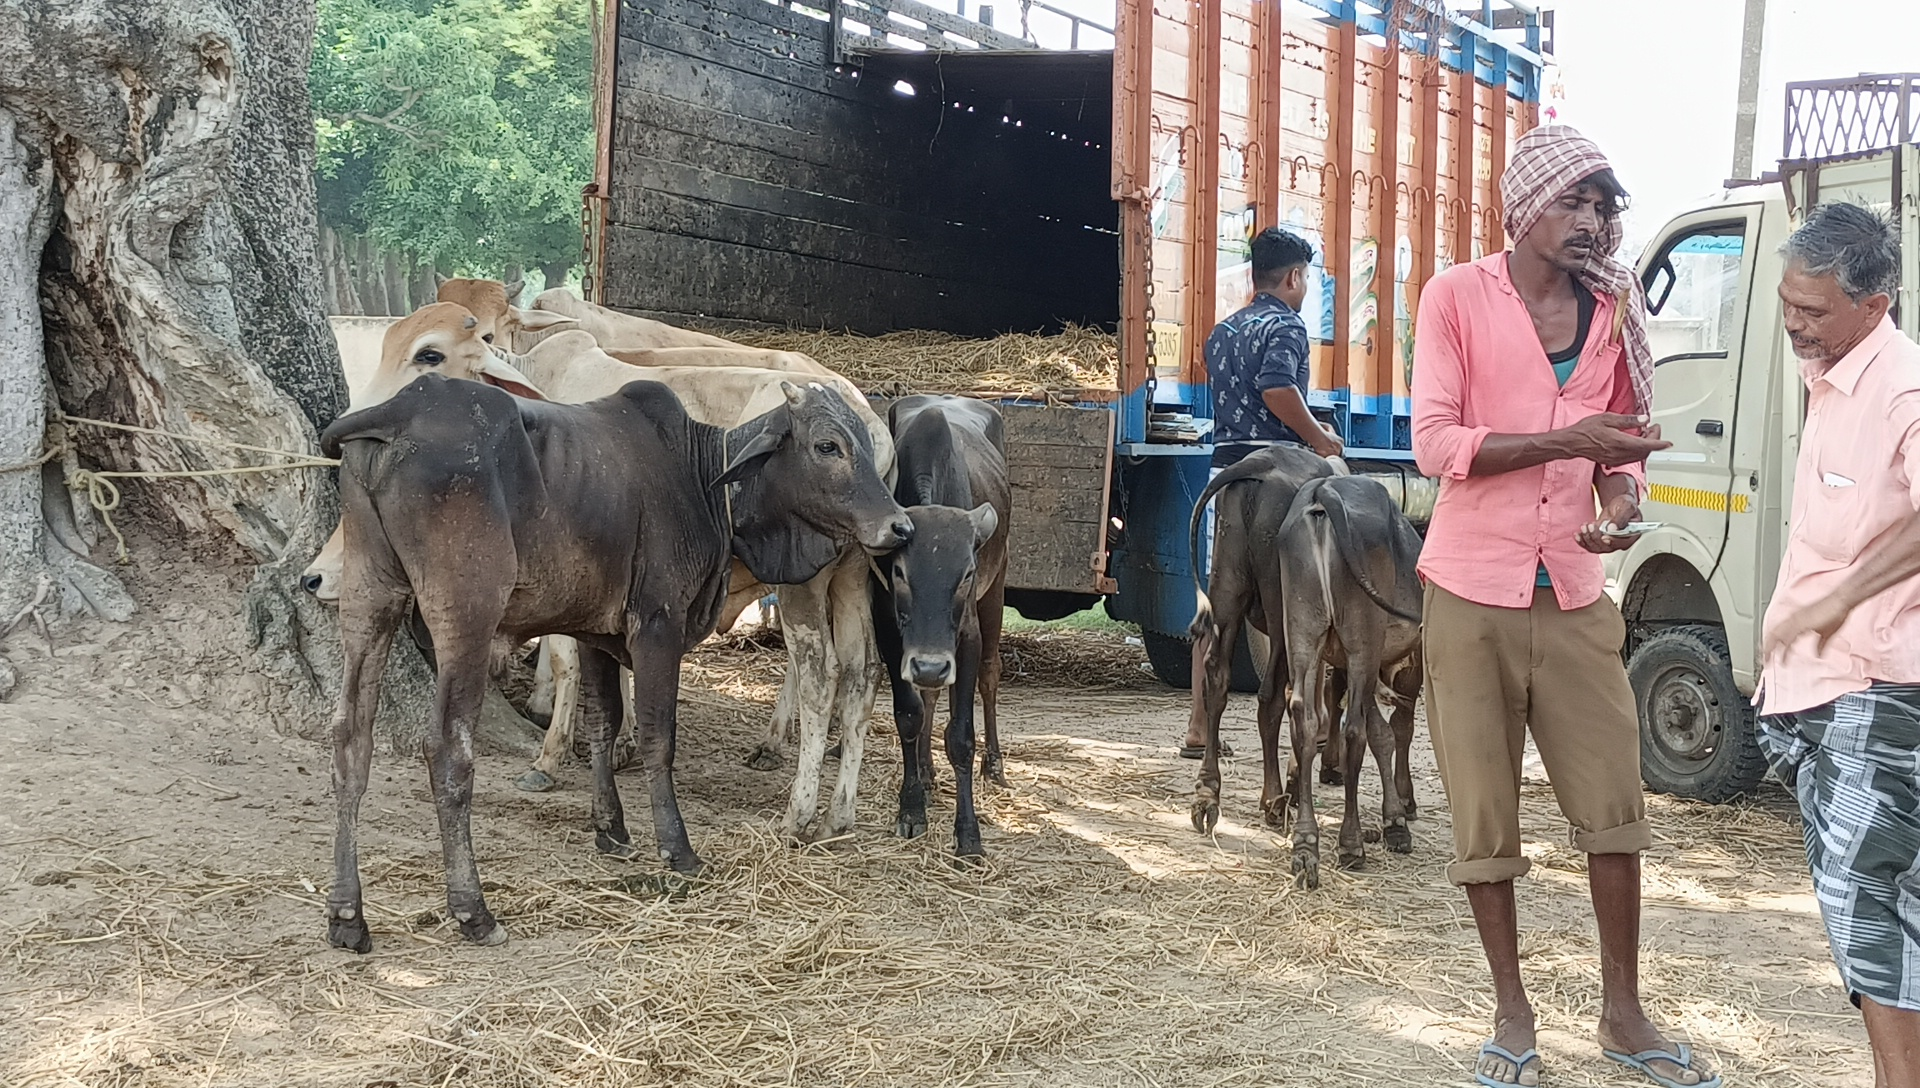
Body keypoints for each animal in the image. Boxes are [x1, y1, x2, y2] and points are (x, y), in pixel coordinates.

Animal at [322, 331, 906, 951]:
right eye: (827, 446)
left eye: (856, 444)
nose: (899, 526)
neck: (701, 477)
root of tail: (401, 409)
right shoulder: (656, 625)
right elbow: (656, 735)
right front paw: (676, 847)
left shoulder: (595, 631)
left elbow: (603, 722)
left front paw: (611, 828)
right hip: (466, 616)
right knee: (447, 748)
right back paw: (472, 910)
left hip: (369, 601)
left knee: (350, 737)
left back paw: (347, 916)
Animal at [871, 393, 1013, 859]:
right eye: (899, 572)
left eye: (966, 573)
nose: (931, 665)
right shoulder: (889, 630)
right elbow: (910, 714)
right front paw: (912, 806)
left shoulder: (966, 636)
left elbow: (960, 735)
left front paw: (968, 834)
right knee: (929, 696)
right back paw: (928, 773)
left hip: (997, 590)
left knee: (990, 676)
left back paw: (995, 764)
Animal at [1274, 473, 1428, 886]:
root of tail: (1324, 490)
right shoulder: (1408, 659)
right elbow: (1396, 731)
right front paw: (1401, 809)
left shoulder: (1343, 662)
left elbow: (1382, 734)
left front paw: (1395, 817)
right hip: (1363, 640)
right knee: (1353, 729)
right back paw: (1351, 843)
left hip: (1303, 632)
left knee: (1305, 721)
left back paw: (1305, 845)